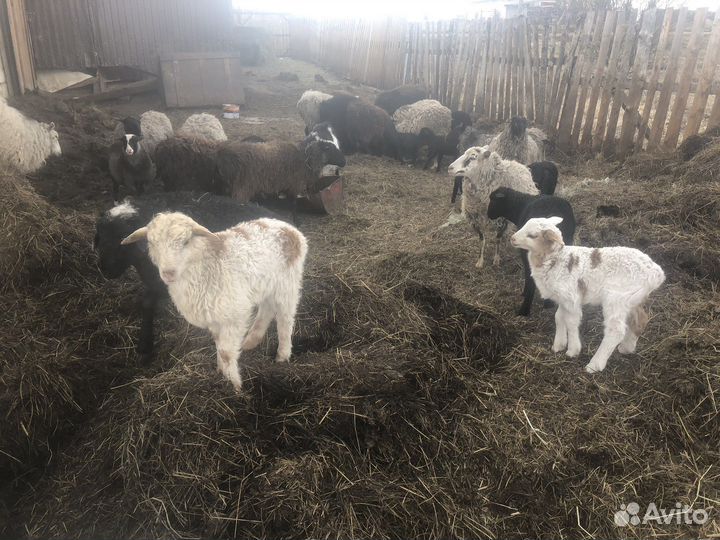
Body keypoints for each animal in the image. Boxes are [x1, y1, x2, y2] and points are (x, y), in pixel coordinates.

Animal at [121, 212, 308, 391]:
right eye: (152, 243)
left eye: (186, 241)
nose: (168, 273)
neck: (204, 268)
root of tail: (288, 228)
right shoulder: (214, 316)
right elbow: (218, 343)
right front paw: (220, 374)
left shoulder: (234, 315)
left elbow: (225, 352)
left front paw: (234, 387)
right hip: (266, 284)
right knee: (266, 308)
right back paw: (250, 342)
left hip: (288, 283)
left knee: (285, 319)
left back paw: (282, 356)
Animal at [511, 217, 665, 373]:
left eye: (532, 235)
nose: (512, 238)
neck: (556, 259)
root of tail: (656, 273)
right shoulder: (563, 298)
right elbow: (559, 317)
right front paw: (558, 344)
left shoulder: (571, 297)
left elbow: (571, 322)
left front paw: (573, 350)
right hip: (633, 299)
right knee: (640, 320)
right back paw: (627, 348)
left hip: (616, 298)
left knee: (615, 331)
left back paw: (595, 364)